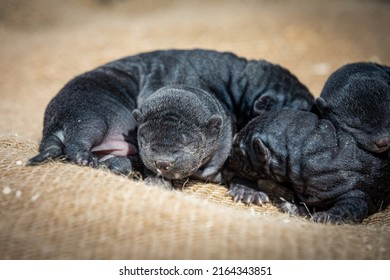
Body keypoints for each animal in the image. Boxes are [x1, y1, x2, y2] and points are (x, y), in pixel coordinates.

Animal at [27, 49, 314, 182]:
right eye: (303, 109)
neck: (238, 84)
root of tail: (52, 129)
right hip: (90, 114)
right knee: (82, 135)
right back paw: (85, 158)